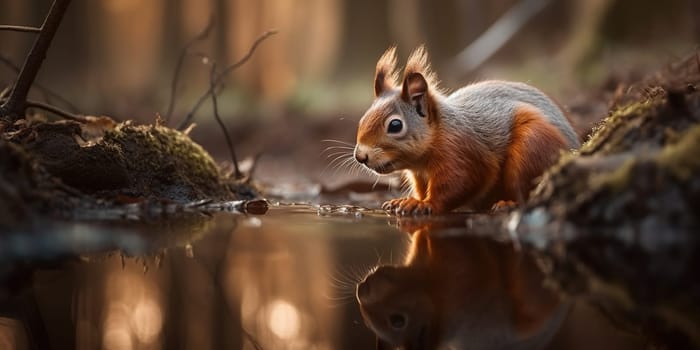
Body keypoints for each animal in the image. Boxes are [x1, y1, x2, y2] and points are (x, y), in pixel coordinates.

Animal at [356, 45, 580, 216]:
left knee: (527, 192)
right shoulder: (419, 175)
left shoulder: (462, 152)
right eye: (363, 117)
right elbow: (421, 189)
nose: (360, 156)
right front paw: (406, 200)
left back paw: (509, 204)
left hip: (533, 145)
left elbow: (461, 182)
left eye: (395, 125)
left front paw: (424, 204)